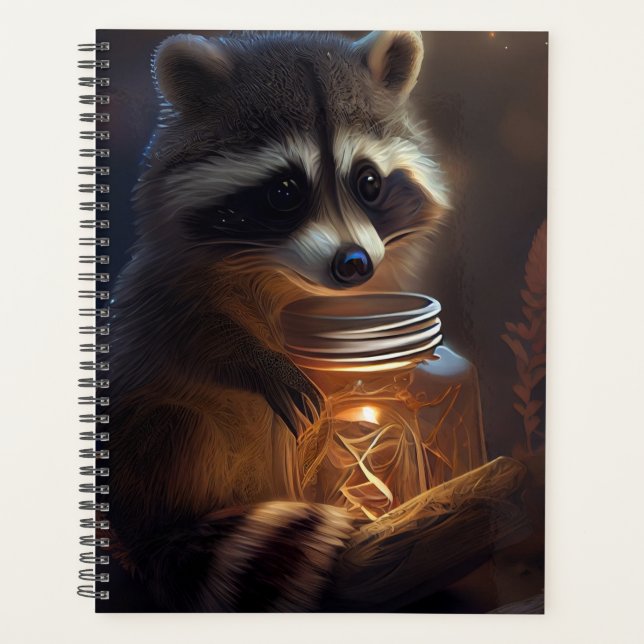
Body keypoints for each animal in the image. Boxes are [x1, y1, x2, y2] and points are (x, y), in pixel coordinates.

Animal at [108, 30, 450, 611]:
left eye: (369, 182)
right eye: (285, 191)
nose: (353, 264)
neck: (287, 277)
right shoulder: (160, 284)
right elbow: (187, 331)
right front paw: (257, 360)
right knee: (177, 424)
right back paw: (167, 532)